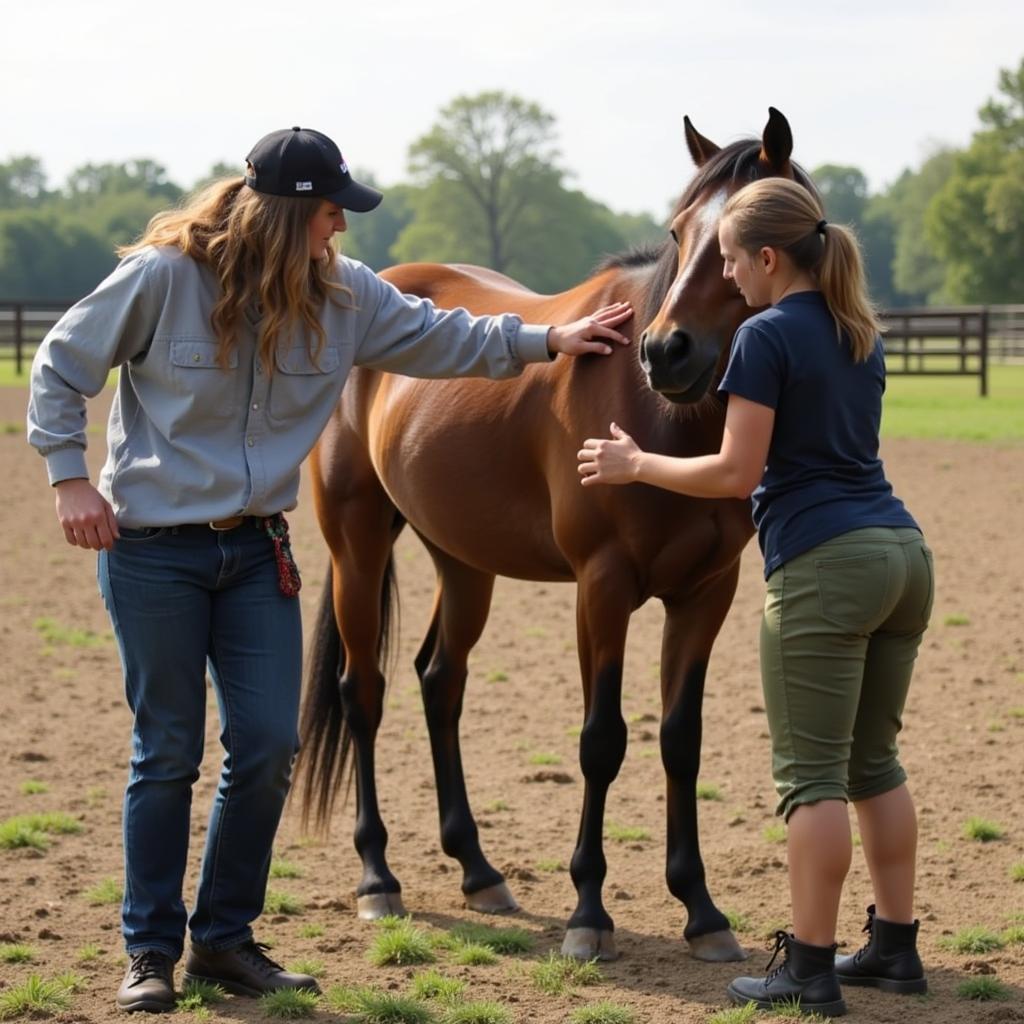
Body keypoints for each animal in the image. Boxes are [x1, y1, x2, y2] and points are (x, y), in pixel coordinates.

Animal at [296, 110, 815, 958]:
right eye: (679, 230)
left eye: (743, 241)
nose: (667, 351)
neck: (663, 419)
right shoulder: (601, 588)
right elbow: (601, 740)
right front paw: (588, 913)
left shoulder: (706, 593)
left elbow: (681, 738)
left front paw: (702, 910)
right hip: (357, 542)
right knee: (362, 691)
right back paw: (378, 878)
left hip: (463, 560)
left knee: (440, 681)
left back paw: (478, 870)